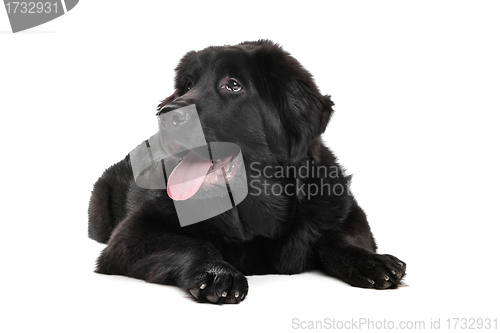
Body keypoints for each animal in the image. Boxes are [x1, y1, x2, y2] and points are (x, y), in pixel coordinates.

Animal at [87, 39, 406, 304]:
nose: (166, 113)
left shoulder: (345, 210)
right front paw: (217, 272)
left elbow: (338, 237)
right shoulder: (131, 234)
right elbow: (193, 243)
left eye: (233, 85)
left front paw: (370, 261)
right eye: (187, 85)